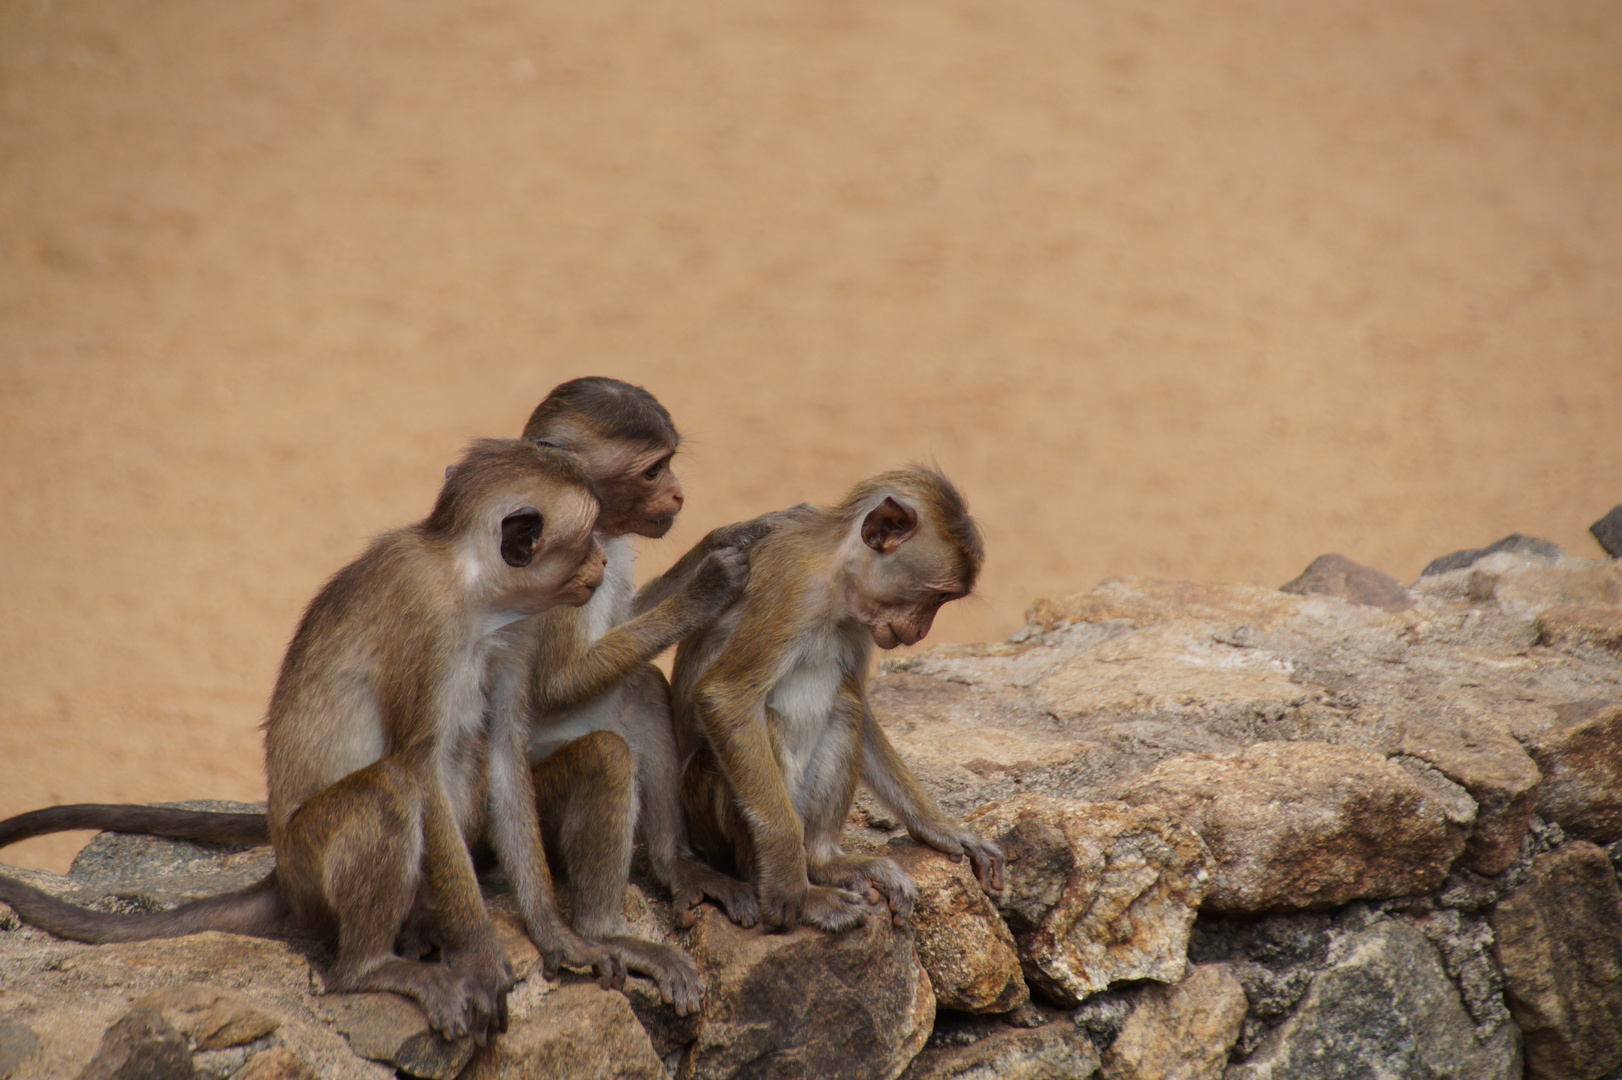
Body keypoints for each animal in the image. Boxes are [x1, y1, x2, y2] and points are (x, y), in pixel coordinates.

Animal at [0, 441, 616, 1044]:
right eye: (588, 536)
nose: (605, 563)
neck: (470, 584)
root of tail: (284, 874)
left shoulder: (517, 628)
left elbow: (506, 753)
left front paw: (556, 934)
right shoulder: (426, 625)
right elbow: (419, 767)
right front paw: (483, 958)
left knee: (465, 754)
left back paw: (418, 925)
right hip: (311, 863)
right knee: (392, 787)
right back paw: (369, 967)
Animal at [668, 467, 999, 927]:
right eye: (938, 596)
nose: (921, 632)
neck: (836, 579)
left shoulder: (862, 626)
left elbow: (864, 713)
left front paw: (938, 825)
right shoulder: (793, 591)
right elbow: (725, 697)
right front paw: (790, 889)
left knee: (846, 706)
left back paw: (825, 862)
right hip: (707, 813)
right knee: (766, 723)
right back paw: (794, 883)